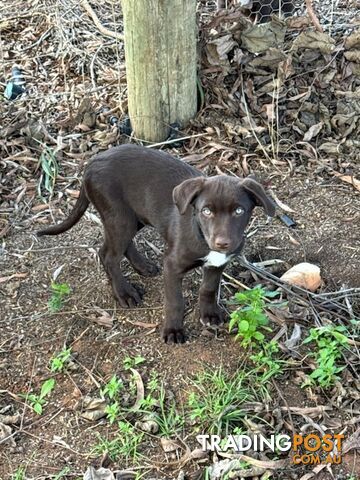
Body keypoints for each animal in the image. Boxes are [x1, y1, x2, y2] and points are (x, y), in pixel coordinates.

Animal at [37, 144, 276, 344]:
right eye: (206, 211)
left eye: (239, 211)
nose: (223, 243)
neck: (200, 234)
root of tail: (91, 163)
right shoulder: (172, 264)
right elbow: (175, 301)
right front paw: (173, 330)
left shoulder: (217, 263)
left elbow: (208, 288)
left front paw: (209, 313)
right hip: (119, 216)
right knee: (108, 254)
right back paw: (124, 293)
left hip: (134, 216)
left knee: (117, 245)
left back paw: (142, 267)